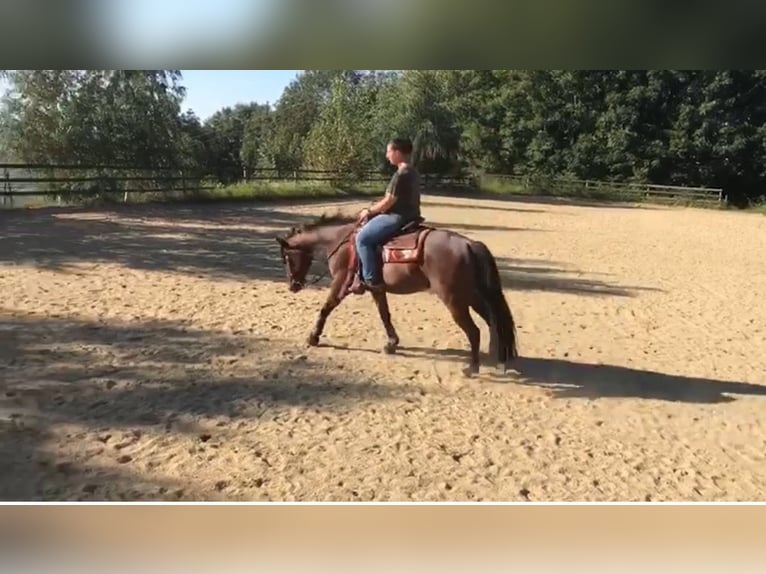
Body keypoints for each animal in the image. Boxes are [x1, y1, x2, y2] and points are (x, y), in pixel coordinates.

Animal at [275, 212, 518, 376]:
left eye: (286, 257)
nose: (293, 286)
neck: (341, 241)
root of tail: (469, 244)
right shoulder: (377, 288)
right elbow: (385, 315)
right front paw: (391, 343)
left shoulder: (340, 283)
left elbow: (326, 307)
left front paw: (313, 337)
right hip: (472, 296)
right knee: (493, 321)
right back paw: (499, 359)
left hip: (455, 300)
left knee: (474, 330)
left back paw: (472, 367)